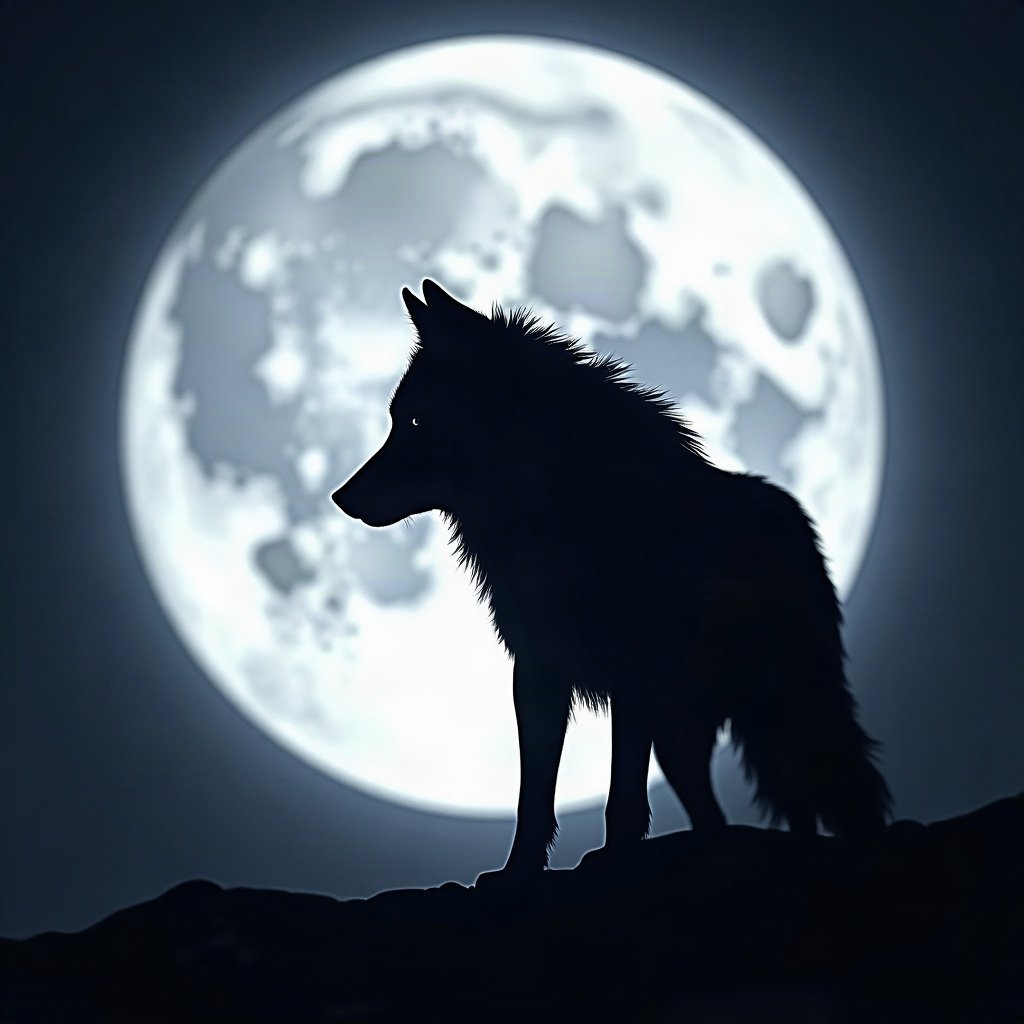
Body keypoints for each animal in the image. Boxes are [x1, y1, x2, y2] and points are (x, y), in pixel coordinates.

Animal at [333, 279, 892, 879]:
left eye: (413, 422)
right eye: (397, 419)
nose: (341, 497)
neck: (559, 513)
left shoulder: (635, 673)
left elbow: (621, 793)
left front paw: (618, 858)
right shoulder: (539, 672)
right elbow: (534, 795)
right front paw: (519, 872)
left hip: (781, 706)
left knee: (819, 788)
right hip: (689, 732)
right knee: (731, 807)